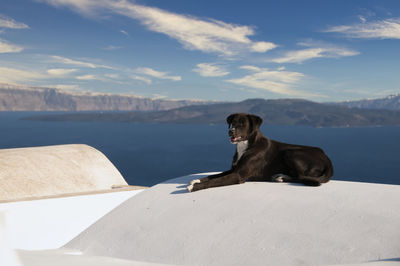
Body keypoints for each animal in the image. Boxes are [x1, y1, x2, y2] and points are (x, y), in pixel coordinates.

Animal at [188, 113, 334, 192]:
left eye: (242, 123)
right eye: (232, 123)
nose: (231, 131)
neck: (245, 146)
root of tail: (327, 160)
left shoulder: (238, 175)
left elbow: (216, 180)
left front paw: (194, 187)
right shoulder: (233, 170)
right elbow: (213, 176)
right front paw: (196, 180)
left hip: (290, 152)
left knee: (302, 177)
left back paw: (282, 177)